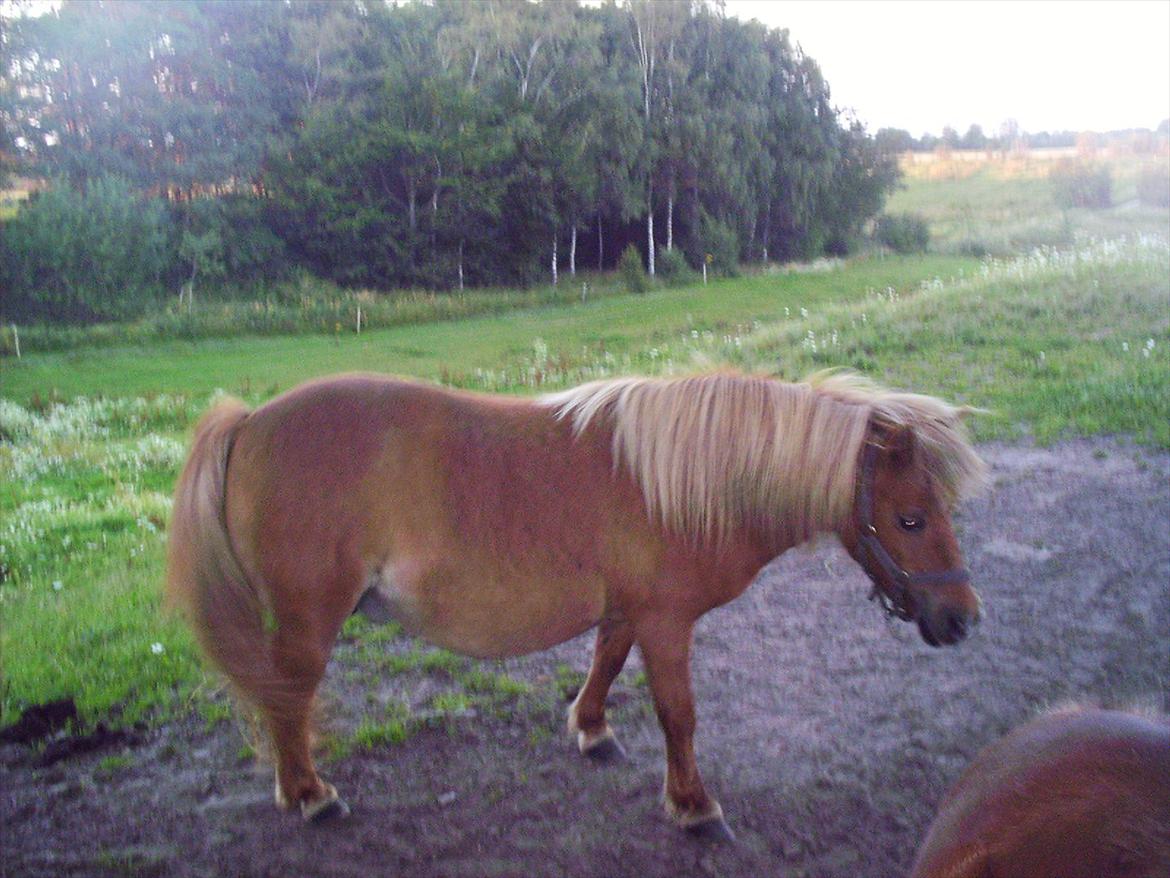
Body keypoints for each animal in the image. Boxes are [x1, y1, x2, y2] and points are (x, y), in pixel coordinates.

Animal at [167, 369, 987, 838]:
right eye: (911, 519)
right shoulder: (665, 622)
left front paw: (591, 731)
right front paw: (693, 806)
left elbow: (605, 661)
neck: (688, 481)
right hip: (309, 620)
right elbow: (678, 714)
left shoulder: (628, 610)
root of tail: (249, 423)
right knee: (288, 700)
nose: (962, 619)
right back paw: (310, 795)